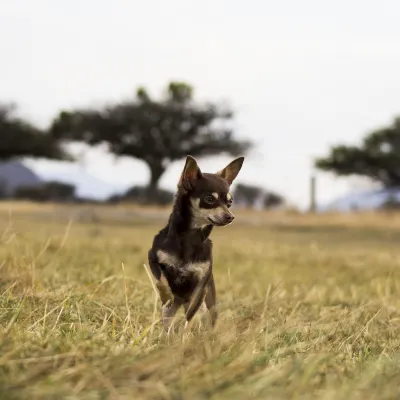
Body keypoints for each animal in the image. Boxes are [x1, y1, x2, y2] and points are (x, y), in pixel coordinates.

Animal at [148, 155, 244, 332]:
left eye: (230, 202)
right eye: (209, 199)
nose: (230, 217)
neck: (190, 238)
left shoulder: (200, 286)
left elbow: (190, 317)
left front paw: (185, 334)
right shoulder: (153, 259)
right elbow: (161, 280)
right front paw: (166, 294)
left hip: (207, 305)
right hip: (170, 310)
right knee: (168, 318)